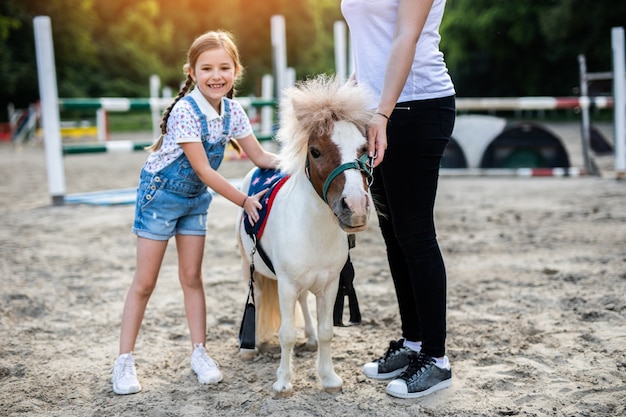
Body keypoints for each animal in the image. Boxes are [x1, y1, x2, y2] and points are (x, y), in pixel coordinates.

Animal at [233, 75, 370, 396]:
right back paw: (249, 347)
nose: (355, 208)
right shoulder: (285, 285)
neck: (314, 229)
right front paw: (283, 382)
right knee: (257, 296)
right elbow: (285, 334)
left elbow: (326, 331)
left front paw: (329, 378)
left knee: (304, 303)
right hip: (250, 265)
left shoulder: (329, 285)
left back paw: (308, 338)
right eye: (315, 151)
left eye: (364, 149)